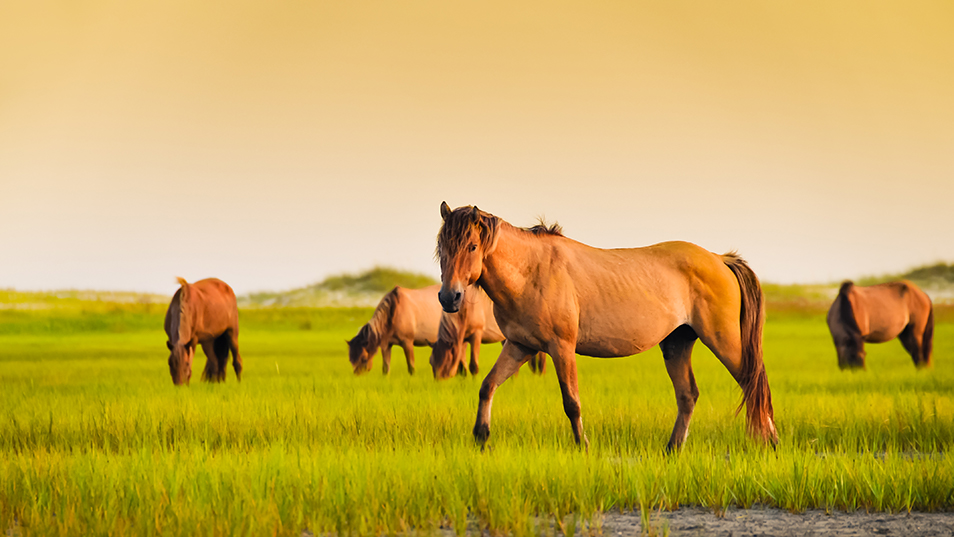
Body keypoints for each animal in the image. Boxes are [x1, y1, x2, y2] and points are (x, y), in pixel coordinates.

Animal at [436, 203, 776, 450]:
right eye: (442, 247)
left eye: (472, 246)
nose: (449, 297)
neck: (532, 272)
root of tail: (719, 259)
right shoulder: (521, 346)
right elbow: (487, 385)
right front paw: (481, 437)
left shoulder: (561, 347)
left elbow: (571, 402)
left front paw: (582, 446)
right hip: (677, 344)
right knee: (688, 395)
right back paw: (673, 448)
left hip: (724, 341)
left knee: (753, 382)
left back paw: (768, 441)